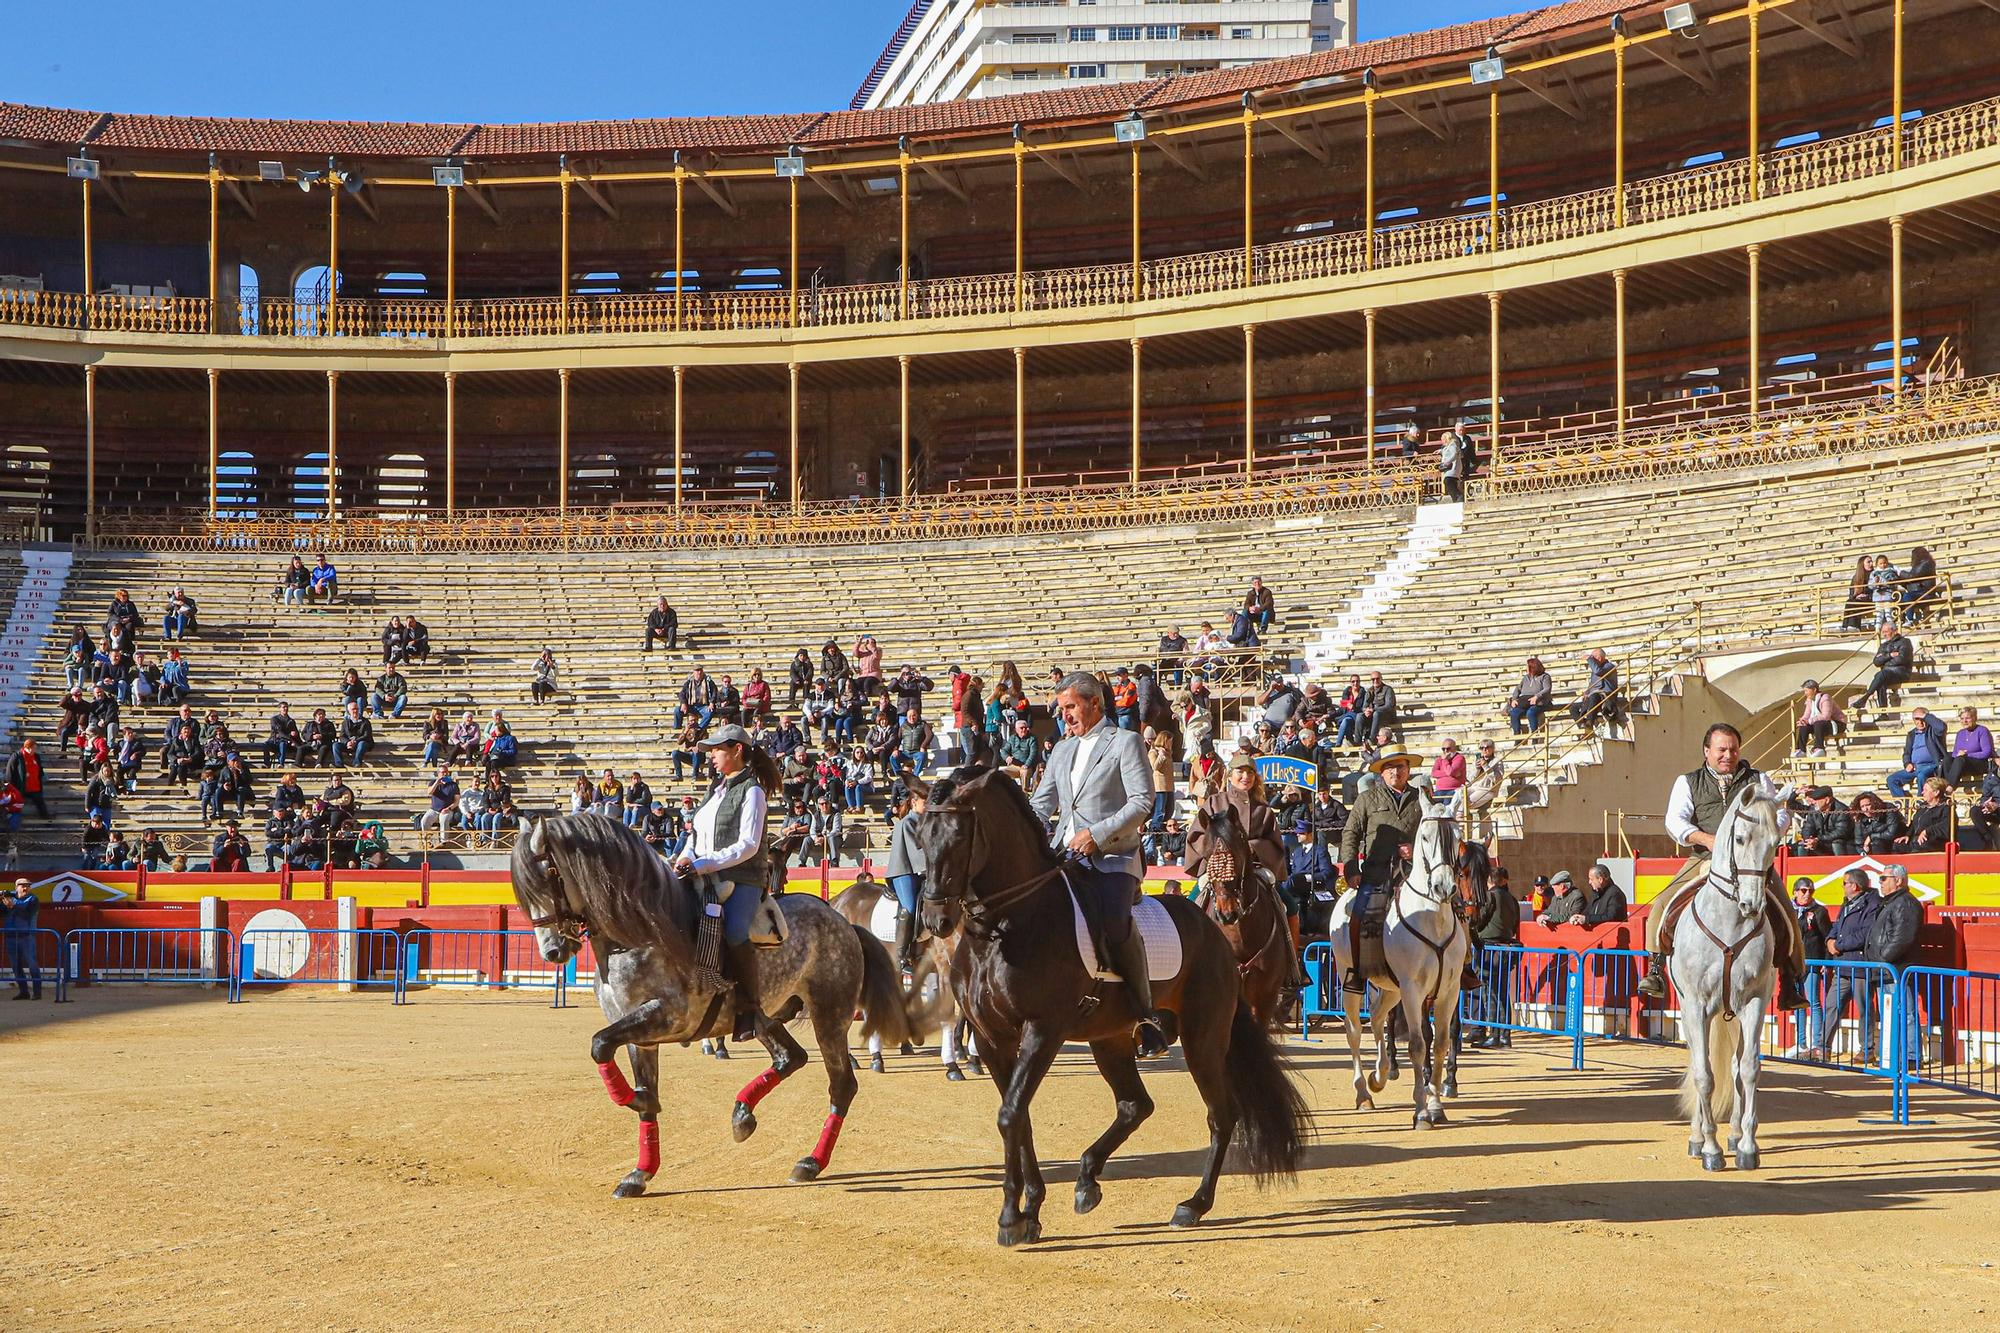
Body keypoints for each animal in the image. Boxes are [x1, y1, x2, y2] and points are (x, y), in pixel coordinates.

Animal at [520, 816, 916, 1184]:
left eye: (546, 878)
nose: (552, 951)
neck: (640, 932)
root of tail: (843, 921)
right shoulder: (637, 1033)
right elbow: (632, 1077)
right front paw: (640, 1173)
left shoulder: (668, 1015)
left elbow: (600, 1044)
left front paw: (638, 1101)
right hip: (768, 1016)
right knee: (791, 1057)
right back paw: (743, 1116)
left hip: (829, 1016)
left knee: (841, 1084)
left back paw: (810, 1162)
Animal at [916, 764, 1304, 1240]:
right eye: (921, 837)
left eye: (957, 837)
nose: (936, 919)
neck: (1005, 926)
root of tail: (1213, 928)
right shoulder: (992, 1039)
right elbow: (1018, 1115)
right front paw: (1031, 1210)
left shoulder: (1042, 1031)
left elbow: (1010, 1115)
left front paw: (1011, 1216)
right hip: (1111, 1039)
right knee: (1136, 1104)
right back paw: (1087, 1179)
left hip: (1204, 1038)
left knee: (1221, 1114)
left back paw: (1193, 1204)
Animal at [1328, 784, 1472, 1128]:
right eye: (1425, 837)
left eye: (1458, 837)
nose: (1444, 887)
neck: (1432, 918)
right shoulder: (1413, 989)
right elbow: (1419, 1045)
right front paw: (1421, 1111)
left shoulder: (1449, 991)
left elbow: (1441, 1042)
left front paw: (1436, 1104)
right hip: (1351, 979)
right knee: (1354, 1031)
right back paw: (1363, 1092)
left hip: (1391, 988)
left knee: (1378, 1017)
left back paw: (1379, 1076)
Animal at [1664, 784, 1792, 1168]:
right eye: (1739, 838)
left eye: (1775, 842)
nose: (1752, 905)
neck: (1729, 922)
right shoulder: (1696, 1006)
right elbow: (1704, 1075)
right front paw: (1709, 1147)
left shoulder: (1753, 1002)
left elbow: (1748, 1069)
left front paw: (1747, 1146)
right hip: (1693, 1012)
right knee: (1698, 1062)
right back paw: (1697, 1138)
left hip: (1732, 1013)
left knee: (1734, 1068)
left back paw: (1734, 1134)